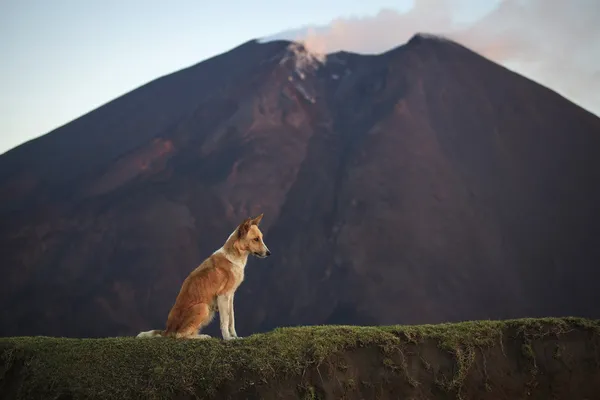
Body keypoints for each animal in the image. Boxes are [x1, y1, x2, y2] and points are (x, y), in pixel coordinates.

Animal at [137, 214, 270, 340]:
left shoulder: (230, 296)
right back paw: (202, 337)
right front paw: (227, 338)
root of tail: (167, 330)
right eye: (256, 239)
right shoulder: (223, 296)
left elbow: (231, 321)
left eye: (261, 238)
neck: (234, 256)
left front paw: (235, 337)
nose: (269, 253)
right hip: (204, 307)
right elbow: (225, 321)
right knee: (180, 335)